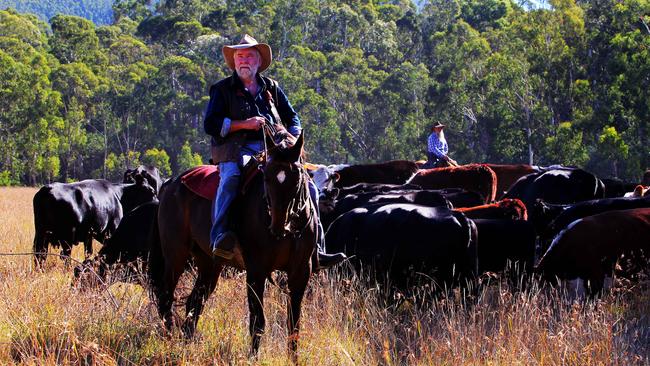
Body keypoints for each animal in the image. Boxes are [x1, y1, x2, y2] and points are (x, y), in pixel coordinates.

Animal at [149, 133, 316, 362]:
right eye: (266, 178)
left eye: (297, 177)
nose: (277, 226)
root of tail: (171, 183)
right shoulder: (256, 271)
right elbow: (258, 320)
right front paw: (253, 359)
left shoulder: (300, 272)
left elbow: (294, 324)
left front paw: (293, 360)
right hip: (175, 255)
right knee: (166, 297)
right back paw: (168, 341)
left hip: (209, 264)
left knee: (194, 302)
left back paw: (186, 344)